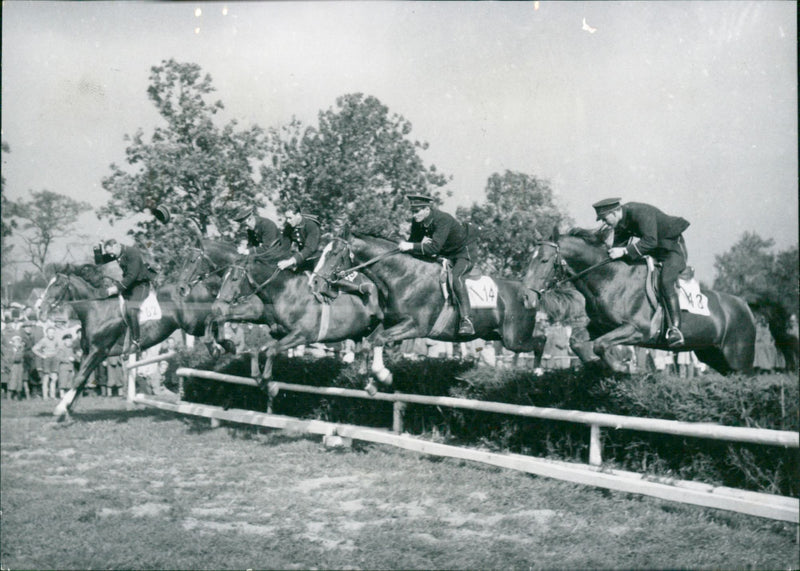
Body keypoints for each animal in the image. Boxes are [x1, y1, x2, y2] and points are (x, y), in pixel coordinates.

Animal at [520, 228, 752, 376]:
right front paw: (596, 366)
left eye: (544, 260)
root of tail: (745, 307)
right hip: (712, 354)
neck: (610, 278)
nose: (526, 297)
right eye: (529, 259)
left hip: (738, 360)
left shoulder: (638, 329)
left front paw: (626, 368)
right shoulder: (601, 327)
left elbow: (600, 345)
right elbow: (577, 341)